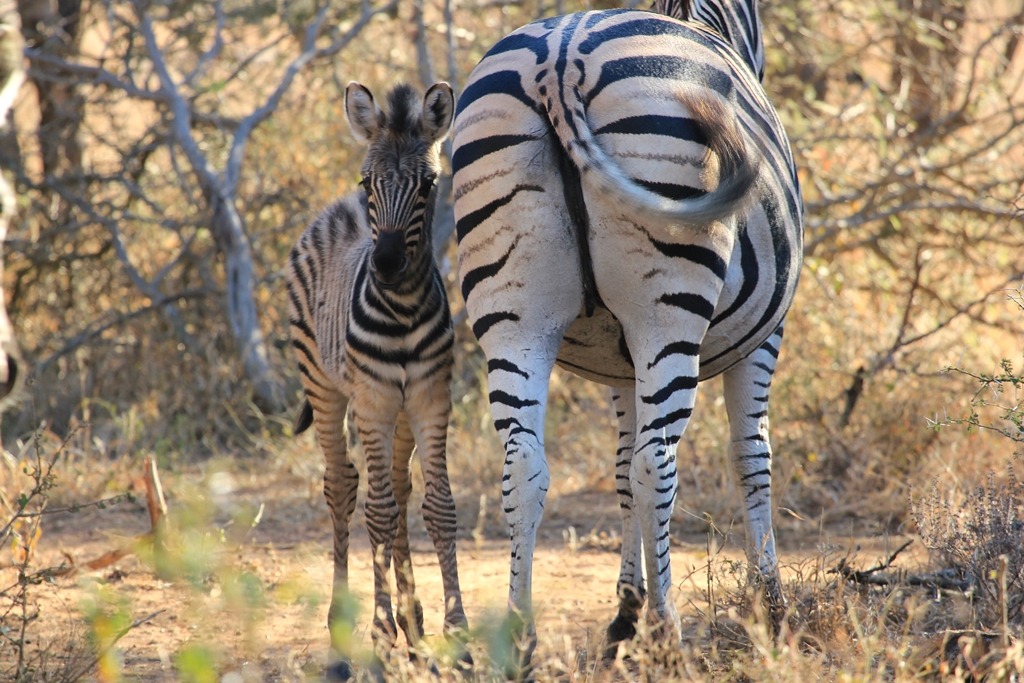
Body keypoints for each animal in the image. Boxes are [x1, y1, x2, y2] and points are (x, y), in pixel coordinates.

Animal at [287, 81, 468, 676]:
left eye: (429, 184)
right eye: (368, 182)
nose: (386, 263)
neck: (404, 308)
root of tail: (336, 211)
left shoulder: (431, 400)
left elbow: (437, 507)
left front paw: (454, 635)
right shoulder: (371, 402)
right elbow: (379, 512)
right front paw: (380, 633)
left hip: (401, 414)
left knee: (400, 485)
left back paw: (414, 626)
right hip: (324, 386)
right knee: (343, 485)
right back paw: (343, 632)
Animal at [451, 0, 803, 664]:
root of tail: (560, 61)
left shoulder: (616, 359)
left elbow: (616, 471)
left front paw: (624, 610)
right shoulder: (764, 340)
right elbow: (751, 456)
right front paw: (769, 608)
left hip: (512, 314)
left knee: (524, 467)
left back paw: (521, 635)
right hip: (667, 307)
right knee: (656, 464)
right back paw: (669, 633)